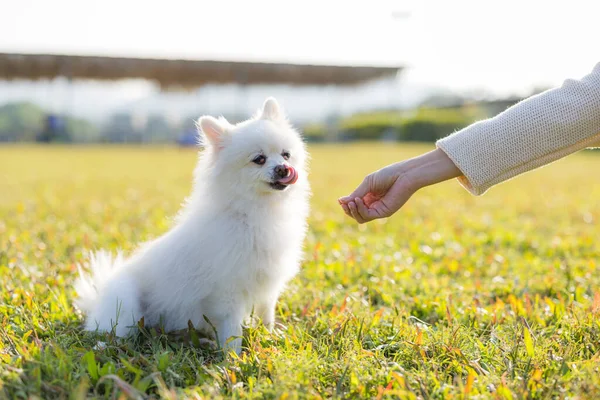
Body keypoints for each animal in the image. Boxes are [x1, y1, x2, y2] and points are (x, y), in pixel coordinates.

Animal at [74, 97, 310, 354]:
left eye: (286, 155)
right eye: (259, 159)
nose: (283, 168)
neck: (256, 212)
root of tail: (97, 300)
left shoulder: (269, 284)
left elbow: (266, 313)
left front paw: (269, 336)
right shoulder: (228, 291)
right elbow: (232, 330)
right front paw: (233, 357)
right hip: (126, 303)